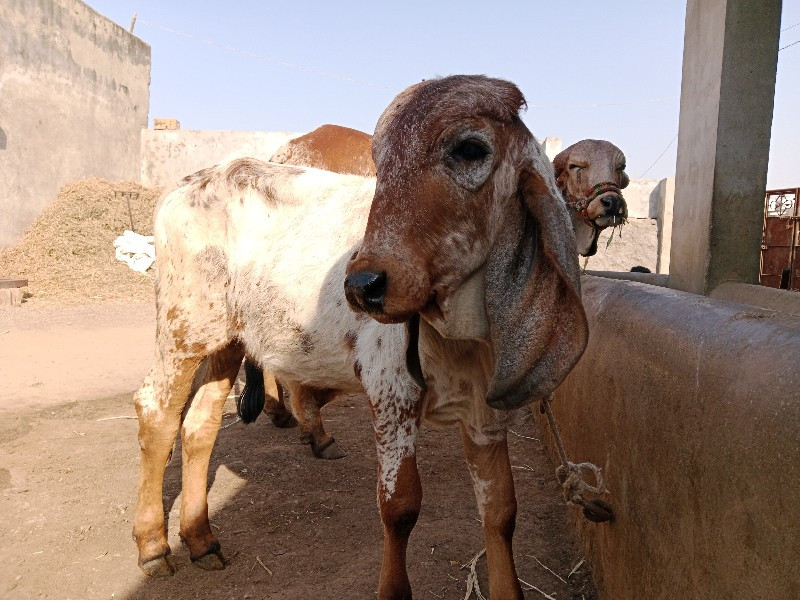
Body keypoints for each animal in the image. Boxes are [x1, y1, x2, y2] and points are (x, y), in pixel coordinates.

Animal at [134, 76, 588, 600]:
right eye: (380, 160)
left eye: (470, 148)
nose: (363, 285)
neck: (467, 332)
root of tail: (187, 185)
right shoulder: (392, 392)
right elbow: (400, 507)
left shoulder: (486, 417)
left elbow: (501, 513)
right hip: (183, 330)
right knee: (157, 414)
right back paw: (153, 546)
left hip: (226, 342)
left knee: (199, 427)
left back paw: (201, 538)